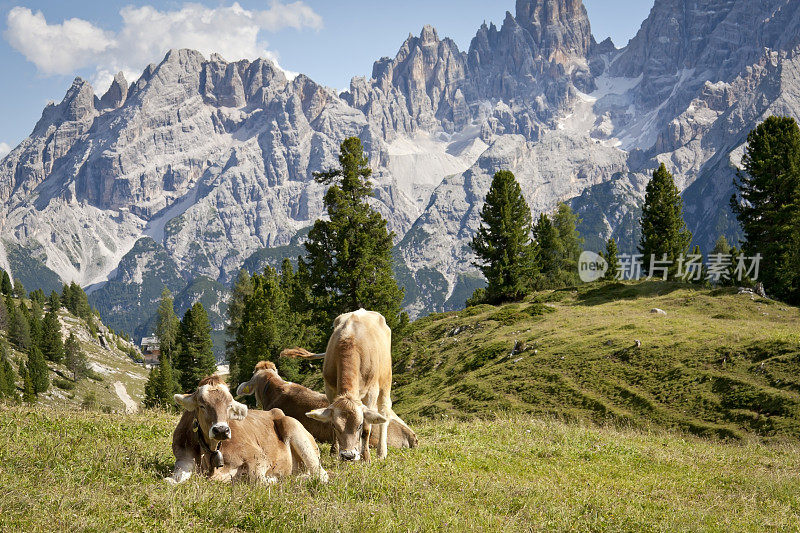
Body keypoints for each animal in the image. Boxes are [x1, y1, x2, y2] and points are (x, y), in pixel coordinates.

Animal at [166, 374, 328, 482]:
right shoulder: (183, 457)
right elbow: (174, 479)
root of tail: (277, 412)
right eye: (202, 405)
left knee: (320, 474)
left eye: (230, 405)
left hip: (295, 431)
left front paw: (272, 479)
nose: (221, 430)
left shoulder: (258, 456)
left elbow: (257, 480)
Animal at [282, 308, 392, 462]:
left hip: (386, 381)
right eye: (335, 425)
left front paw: (365, 457)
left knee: (384, 412)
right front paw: (334, 452)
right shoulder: (330, 389)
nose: (348, 455)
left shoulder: (371, 391)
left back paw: (381, 452)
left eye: (358, 425)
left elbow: (367, 427)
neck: (350, 341)